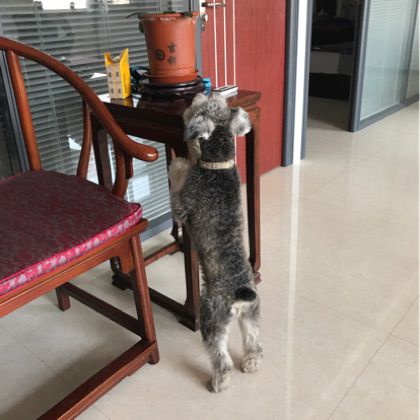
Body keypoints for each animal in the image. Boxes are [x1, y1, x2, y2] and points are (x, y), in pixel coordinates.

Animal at [168, 93, 263, 393]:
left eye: (200, 107)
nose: (200, 93)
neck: (219, 162)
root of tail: (240, 294)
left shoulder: (183, 205)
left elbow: (178, 186)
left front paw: (180, 163)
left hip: (212, 317)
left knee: (219, 355)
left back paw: (219, 382)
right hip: (252, 313)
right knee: (254, 340)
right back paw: (252, 363)